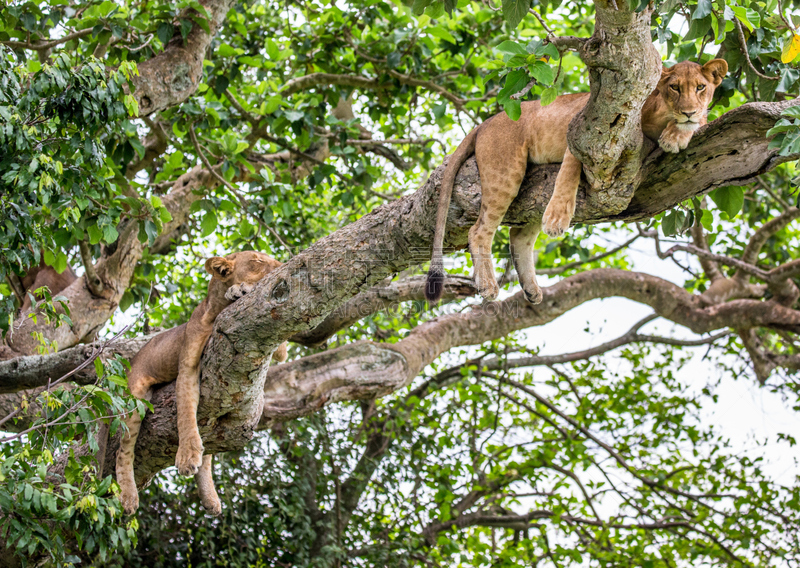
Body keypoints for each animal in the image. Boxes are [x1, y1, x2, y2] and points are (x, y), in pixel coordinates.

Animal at [112, 251, 288, 516]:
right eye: (258, 261)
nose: (285, 264)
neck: (215, 310)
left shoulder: (277, 349)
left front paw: (238, 291)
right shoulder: (187, 367)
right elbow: (185, 414)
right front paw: (186, 457)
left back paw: (211, 499)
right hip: (135, 398)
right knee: (123, 450)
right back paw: (128, 497)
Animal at [428, 59, 728, 304]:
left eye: (701, 87)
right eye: (675, 88)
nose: (688, 111)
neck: (662, 114)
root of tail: (486, 122)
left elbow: (701, 121)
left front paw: (677, 134)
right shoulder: (583, 130)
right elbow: (569, 173)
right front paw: (557, 218)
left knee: (518, 236)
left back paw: (531, 289)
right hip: (506, 172)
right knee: (479, 230)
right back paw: (488, 285)